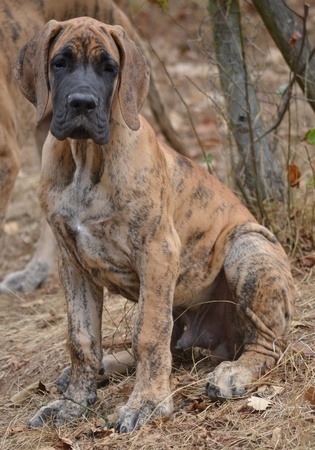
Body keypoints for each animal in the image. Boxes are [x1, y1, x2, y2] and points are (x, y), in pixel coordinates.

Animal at [14, 16, 296, 432]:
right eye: (59, 63)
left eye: (109, 68)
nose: (82, 103)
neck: (86, 157)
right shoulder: (73, 262)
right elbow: (81, 338)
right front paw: (73, 403)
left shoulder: (159, 250)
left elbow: (147, 333)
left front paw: (147, 403)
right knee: (165, 350)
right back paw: (96, 370)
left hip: (248, 246)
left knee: (266, 343)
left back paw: (234, 373)